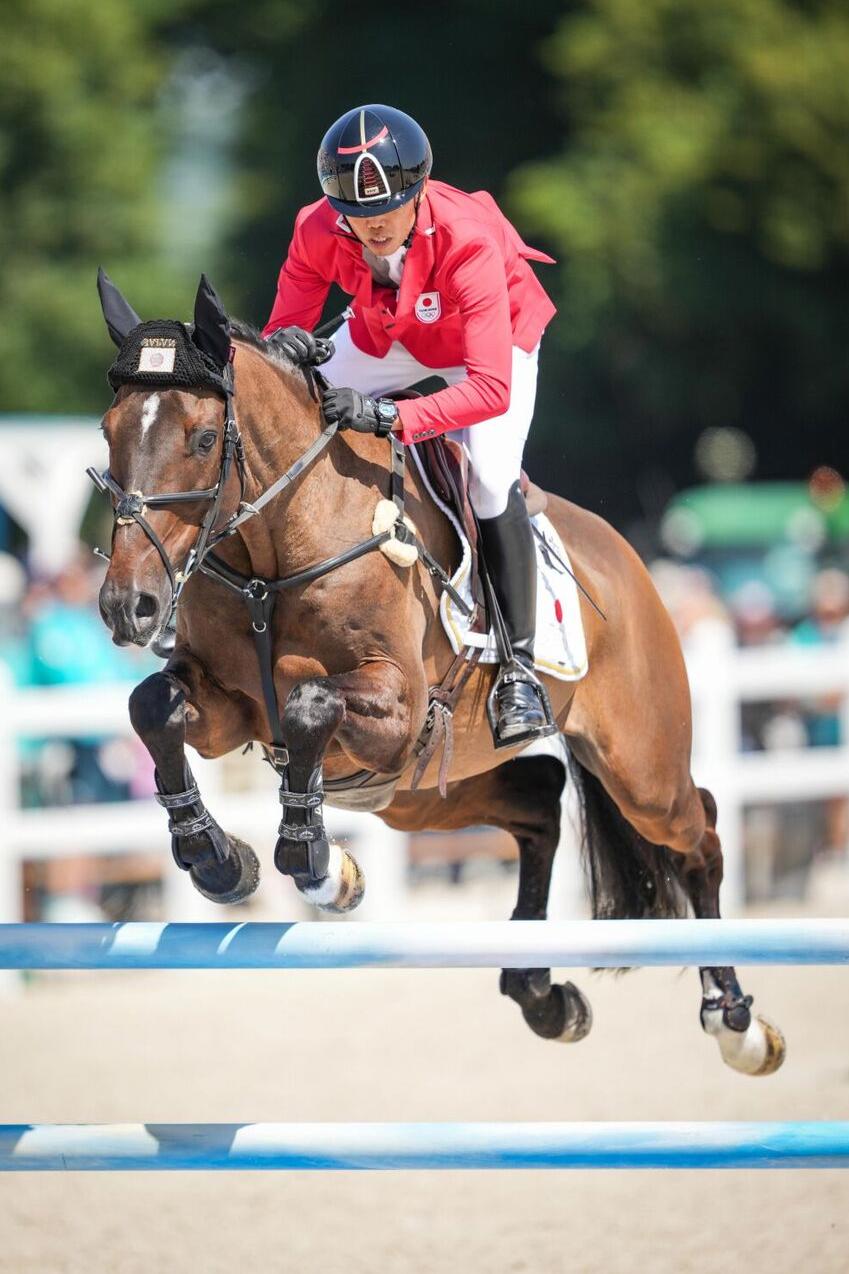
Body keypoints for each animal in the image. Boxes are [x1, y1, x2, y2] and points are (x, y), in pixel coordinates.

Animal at [91, 276, 780, 1075]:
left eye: (203, 439)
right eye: (107, 433)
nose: (128, 607)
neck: (274, 548)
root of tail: (624, 555)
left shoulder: (394, 708)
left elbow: (308, 704)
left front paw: (315, 861)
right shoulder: (230, 709)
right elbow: (155, 706)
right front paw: (218, 859)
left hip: (637, 768)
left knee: (698, 830)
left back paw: (735, 1019)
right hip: (417, 796)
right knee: (541, 800)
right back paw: (539, 992)